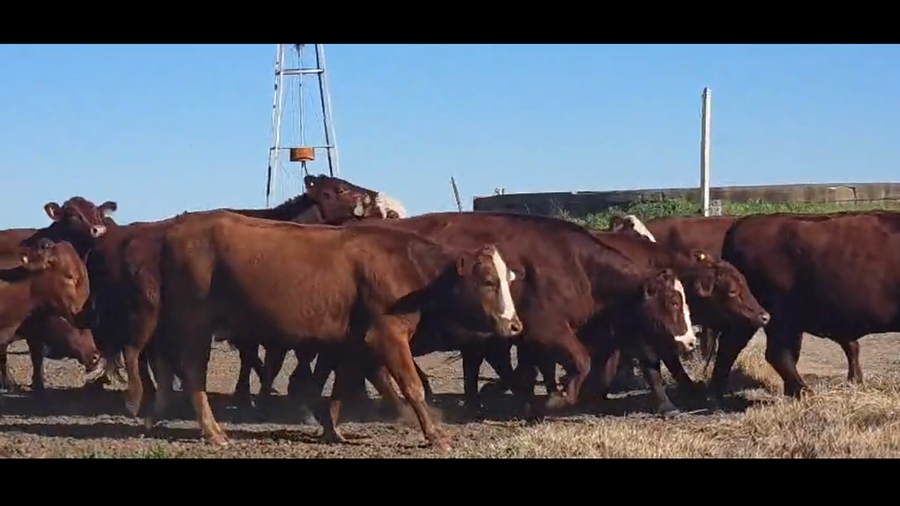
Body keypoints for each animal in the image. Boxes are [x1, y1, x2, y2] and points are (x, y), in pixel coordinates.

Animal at [147, 210, 525, 451]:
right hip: (196, 325)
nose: (515, 325)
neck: (409, 268)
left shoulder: (355, 342)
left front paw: (331, 430)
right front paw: (436, 436)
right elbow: (413, 387)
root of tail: (174, 229)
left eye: (507, 279)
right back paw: (212, 432)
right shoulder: (387, 334)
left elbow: (341, 387)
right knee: (193, 375)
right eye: (488, 281)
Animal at [255, 211, 697, 419]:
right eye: (674, 303)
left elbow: (527, 372)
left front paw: (523, 402)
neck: (573, 264)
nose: (690, 341)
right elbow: (581, 361)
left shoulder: (523, 336)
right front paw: (554, 400)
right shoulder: (548, 330)